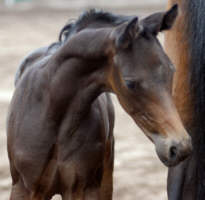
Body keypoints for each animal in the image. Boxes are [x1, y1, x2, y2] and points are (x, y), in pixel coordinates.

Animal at [7, 5, 191, 199]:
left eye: (172, 71)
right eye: (130, 83)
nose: (180, 147)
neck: (51, 107)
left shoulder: (82, 187)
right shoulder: (24, 188)